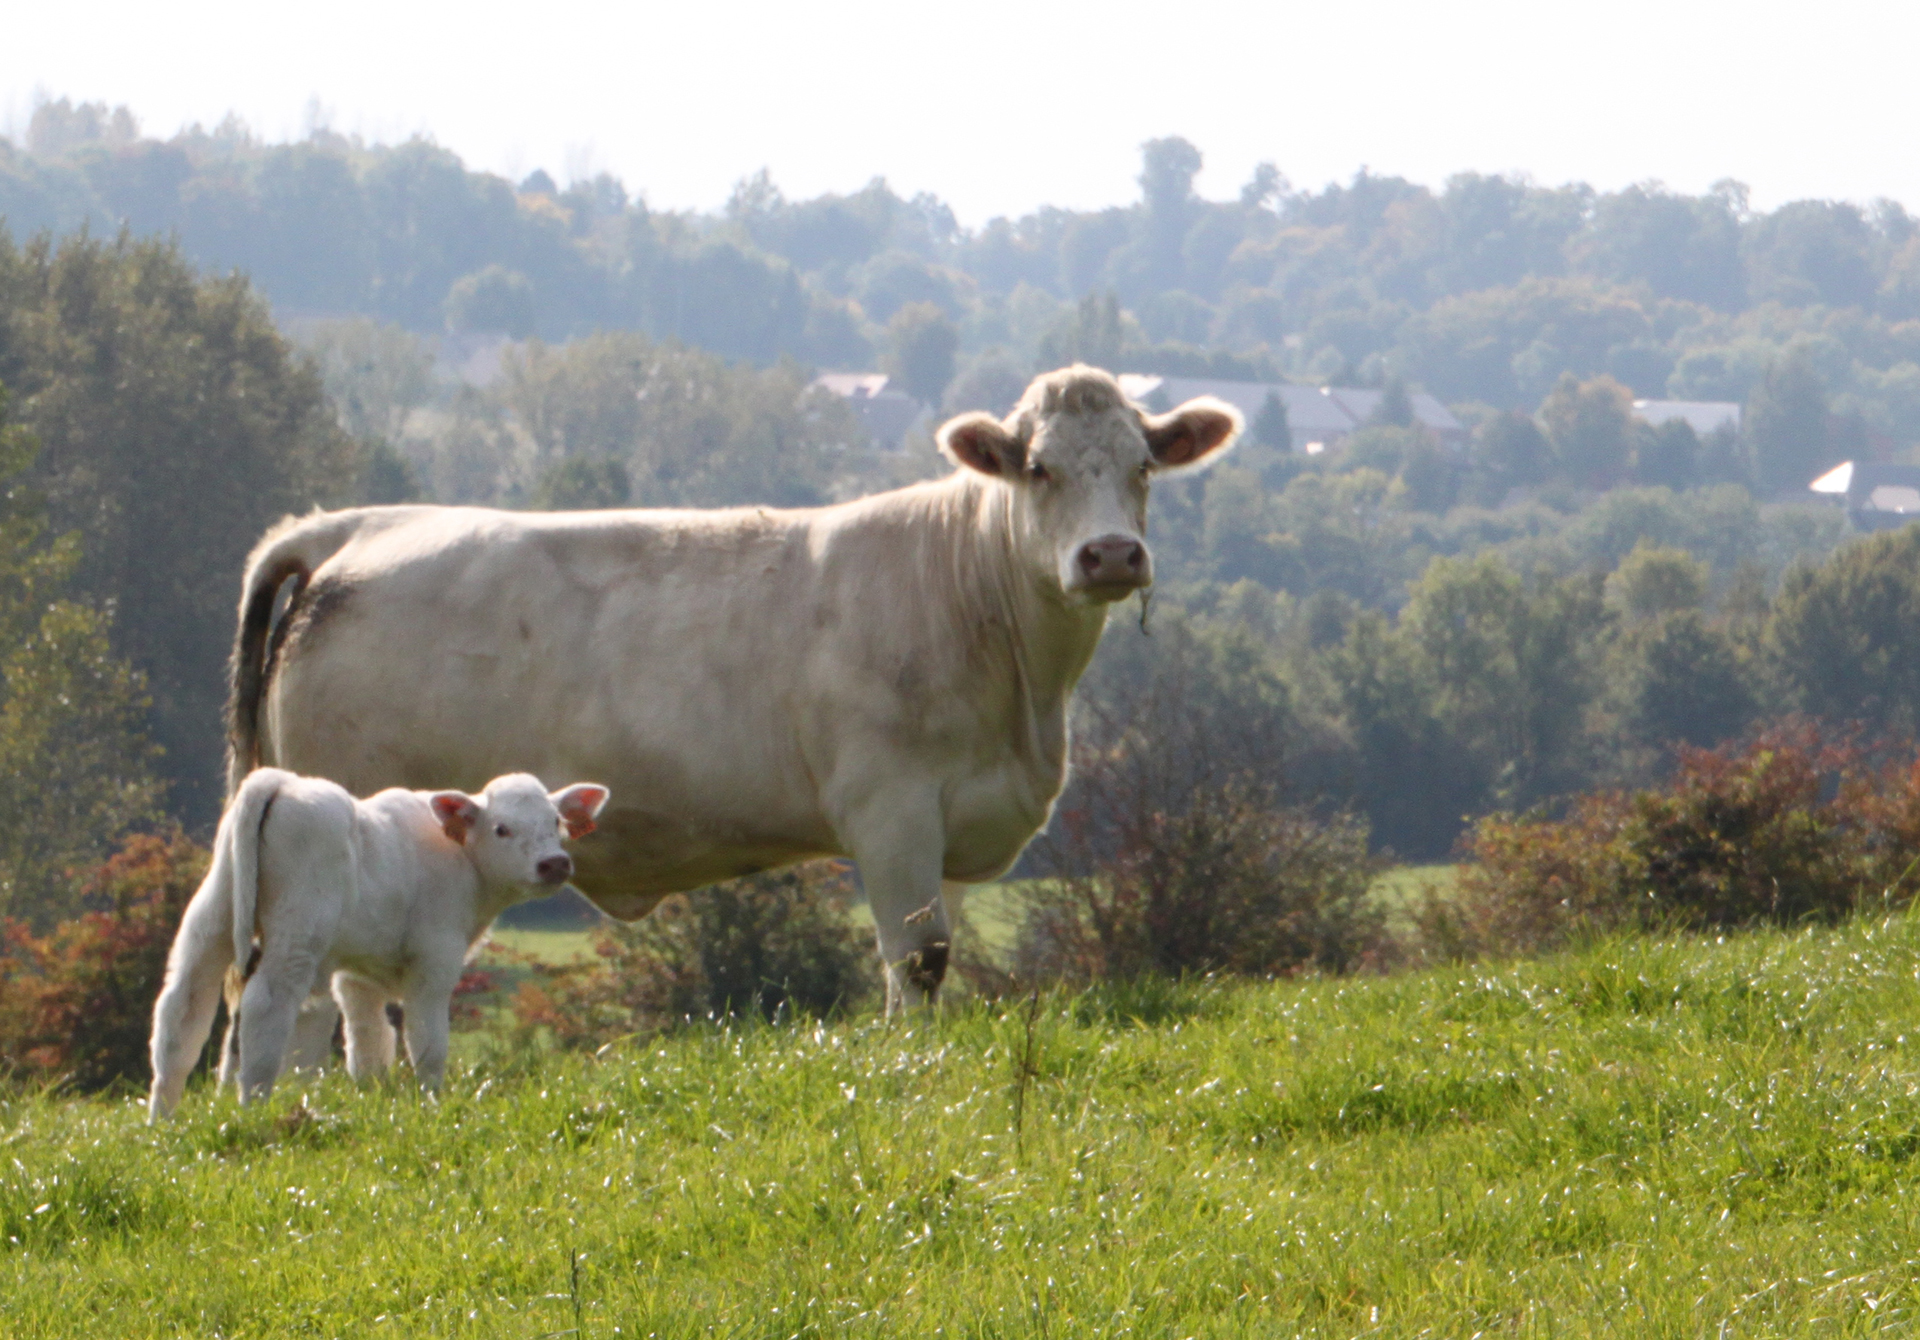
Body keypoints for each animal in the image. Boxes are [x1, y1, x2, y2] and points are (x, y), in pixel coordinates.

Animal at [149, 767, 606, 1113]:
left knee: (180, 1010)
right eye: (502, 829)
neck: (462, 859)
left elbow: (368, 1042)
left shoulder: (357, 976)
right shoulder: (434, 963)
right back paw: (252, 1109)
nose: (554, 863)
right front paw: (431, 1105)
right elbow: (426, 1040)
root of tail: (281, 781)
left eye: (555, 822)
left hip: (213, 917)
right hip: (296, 936)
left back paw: (163, 1122)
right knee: (263, 1006)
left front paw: (372, 1098)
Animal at [228, 360, 1244, 1005]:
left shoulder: (956, 827)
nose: (1109, 555)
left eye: (1143, 465)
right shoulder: (891, 812)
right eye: (1038, 467)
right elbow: (915, 959)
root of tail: (354, 526)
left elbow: (942, 954)